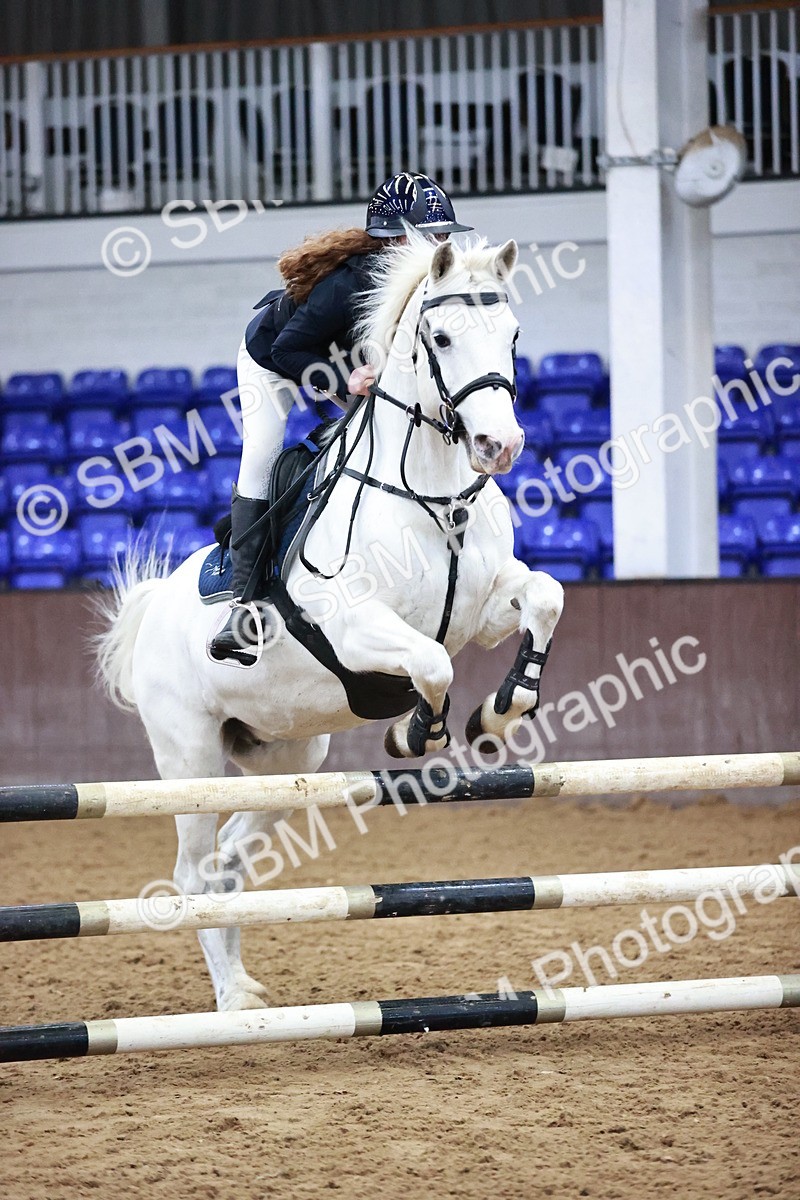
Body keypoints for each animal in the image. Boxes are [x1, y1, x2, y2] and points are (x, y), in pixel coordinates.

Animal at [95, 234, 565, 1011]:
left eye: (515, 334)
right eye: (440, 337)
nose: (499, 446)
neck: (432, 491)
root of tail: (152, 609)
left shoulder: (487, 607)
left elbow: (545, 597)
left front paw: (501, 711)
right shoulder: (355, 627)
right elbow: (432, 664)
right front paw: (417, 732)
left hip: (287, 755)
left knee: (228, 861)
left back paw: (242, 987)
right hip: (189, 756)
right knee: (193, 873)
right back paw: (232, 1002)